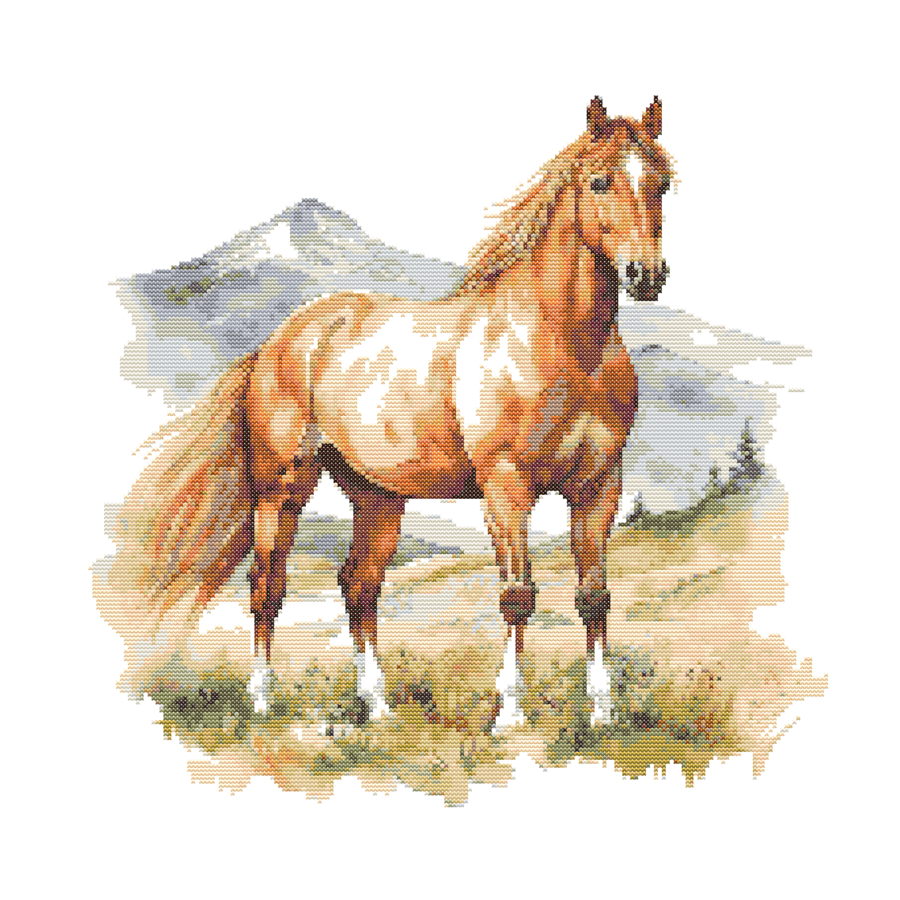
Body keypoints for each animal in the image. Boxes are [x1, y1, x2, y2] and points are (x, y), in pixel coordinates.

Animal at [114, 96, 675, 727]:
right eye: (600, 181)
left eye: (662, 182)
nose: (646, 275)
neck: (557, 341)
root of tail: (278, 341)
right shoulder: (506, 486)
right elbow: (517, 596)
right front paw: (509, 715)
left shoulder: (599, 484)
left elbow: (595, 597)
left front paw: (603, 713)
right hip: (282, 490)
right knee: (267, 586)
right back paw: (262, 700)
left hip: (376, 497)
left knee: (358, 586)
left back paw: (377, 705)